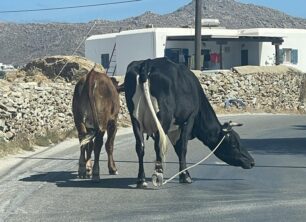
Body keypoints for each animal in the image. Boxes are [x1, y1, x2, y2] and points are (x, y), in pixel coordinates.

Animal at [123, 56, 255, 187]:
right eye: (233, 143)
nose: (252, 162)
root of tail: (147, 63)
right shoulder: (188, 119)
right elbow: (182, 148)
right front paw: (185, 176)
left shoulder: (175, 129)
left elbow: (178, 148)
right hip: (163, 119)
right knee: (158, 145)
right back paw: (158, 177)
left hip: (135, 119)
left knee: (140, 147)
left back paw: (141, 180)